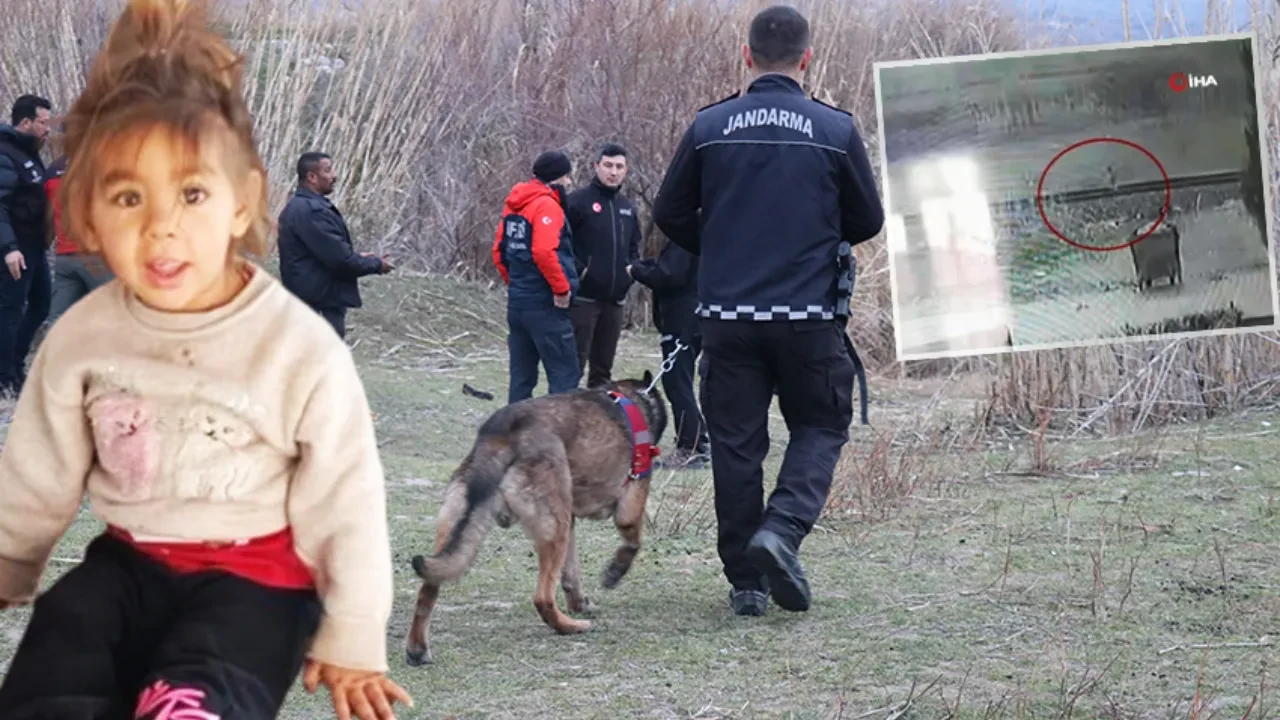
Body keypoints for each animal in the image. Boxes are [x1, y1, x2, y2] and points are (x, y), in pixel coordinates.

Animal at [404, 371, 670, 666]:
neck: (631, 395)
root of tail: (504, 434)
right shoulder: (630, 504)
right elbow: (632, 541)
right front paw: (614, 572)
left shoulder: (571, 519)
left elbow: (571, 574)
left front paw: (580, 603)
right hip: (555, 530)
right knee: (542, 597)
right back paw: (569, 627)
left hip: (462, 522)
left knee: (428, 587)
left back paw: (417, 650)